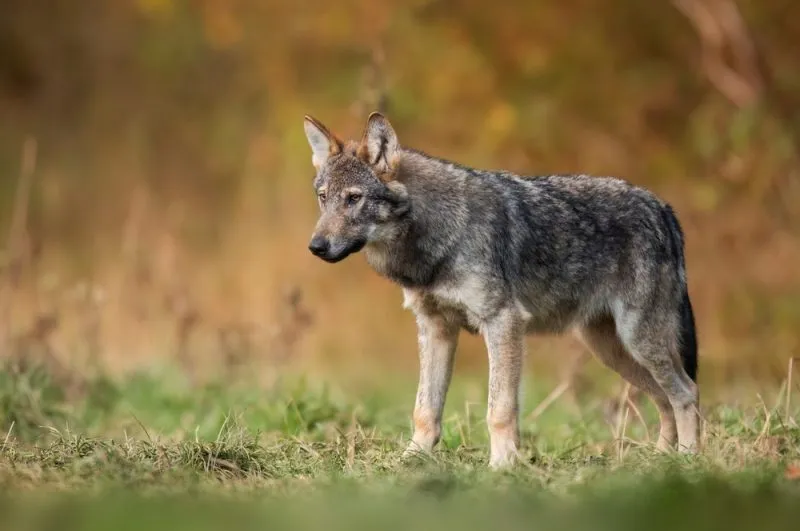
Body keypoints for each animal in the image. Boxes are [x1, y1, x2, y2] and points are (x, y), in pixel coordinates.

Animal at [302, 112, 699, 468]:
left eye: (353, 198)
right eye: (323, 197)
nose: (316, 246)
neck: (438, 237)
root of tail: (662, 207)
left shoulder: (503, 323)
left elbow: (500, 410)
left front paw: (501, 467)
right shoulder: (435, 328)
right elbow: (424, 409)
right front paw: (409, 460)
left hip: (638, 342)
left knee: (686, 393)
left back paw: (687, 460)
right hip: (612, 350)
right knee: (665, 400)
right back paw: (661, 460)